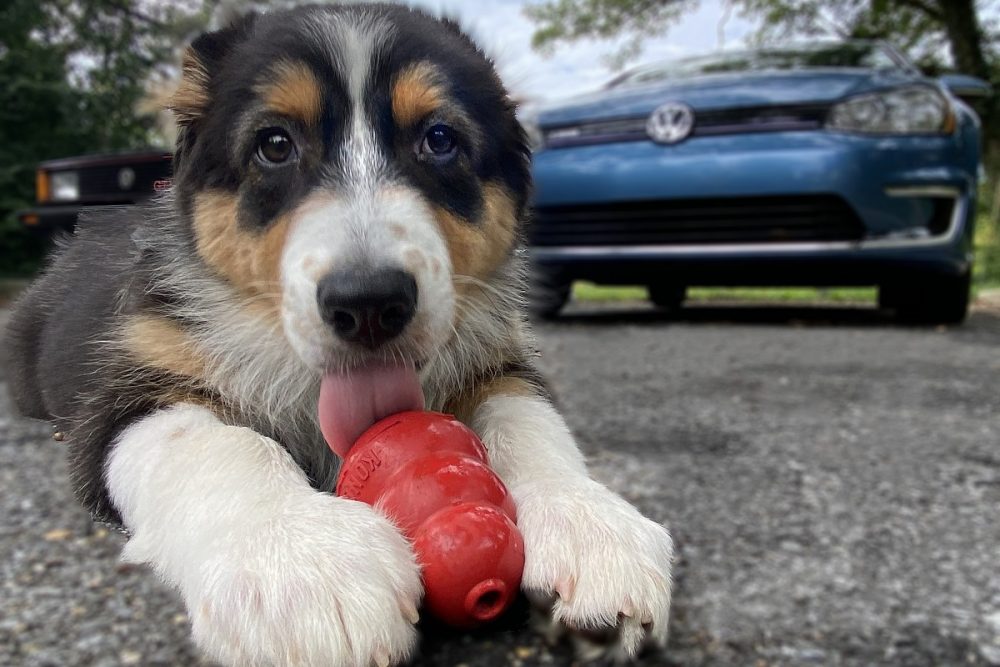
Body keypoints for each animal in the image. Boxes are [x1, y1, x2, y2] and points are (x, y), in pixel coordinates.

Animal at [3, 3, 676, 664]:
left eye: (439, 139)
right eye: (275, 144)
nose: (369, 304)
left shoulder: (500, 356)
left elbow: (529, 420)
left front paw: (590, 524)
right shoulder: (127, 388)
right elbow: (216, 444)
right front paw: (302, 562)